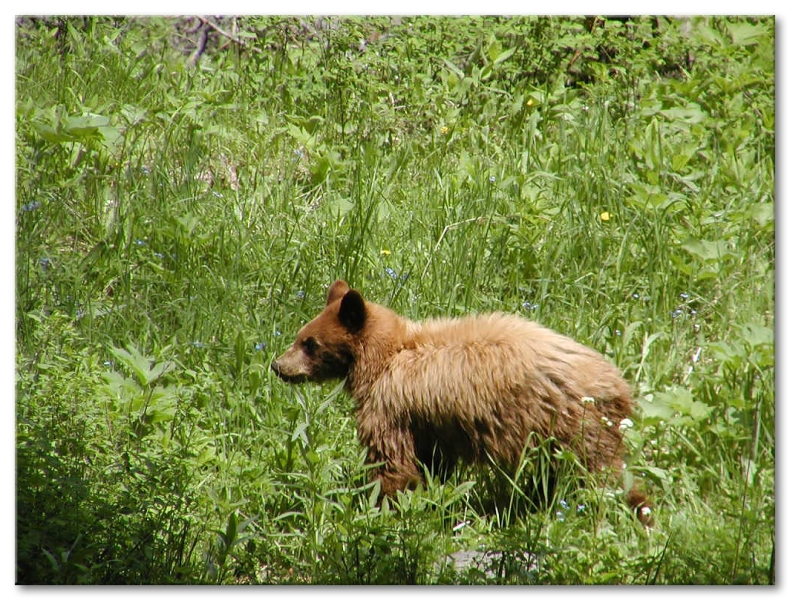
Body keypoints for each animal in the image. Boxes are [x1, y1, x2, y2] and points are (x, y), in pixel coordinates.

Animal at [270, 278, 652, 524]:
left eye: (310, 344)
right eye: (300, 336)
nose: (278, 366)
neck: (387, 357)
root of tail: (619, 384)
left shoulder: (390, 406)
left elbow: (392, 460)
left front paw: (381, 510)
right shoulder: (429, 423)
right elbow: (429, 462)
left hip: (576, 425)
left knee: (609, 474)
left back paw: (636, 513)